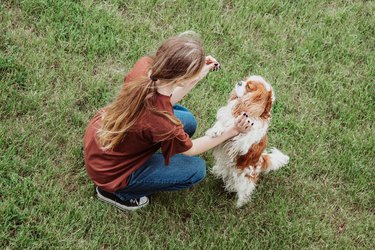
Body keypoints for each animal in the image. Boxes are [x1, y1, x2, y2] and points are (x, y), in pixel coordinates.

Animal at [206, 75, 290, 207]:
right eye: (244, 80)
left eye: (249, 87)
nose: (239, 82)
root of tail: (260, 161)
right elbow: (222, 124)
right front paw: (215, 131)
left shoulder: (243, 144)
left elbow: (239, 138)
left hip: (245, 178)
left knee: (244, 192)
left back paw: (238, 204)